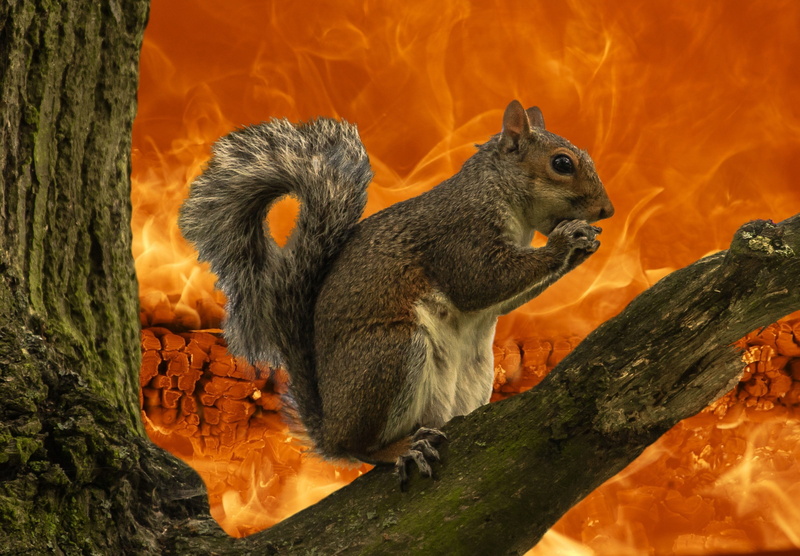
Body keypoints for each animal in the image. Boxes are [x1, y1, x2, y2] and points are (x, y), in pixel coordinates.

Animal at [178, 100, 614, 483]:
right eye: (562, 163)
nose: (607, 211)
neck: (496, 191)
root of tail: (330, 427)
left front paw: (584, 243)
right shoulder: (460, 235)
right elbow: (480, 283)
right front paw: (564, 241)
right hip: (390, 354)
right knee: (361, 447)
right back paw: (399, 448)